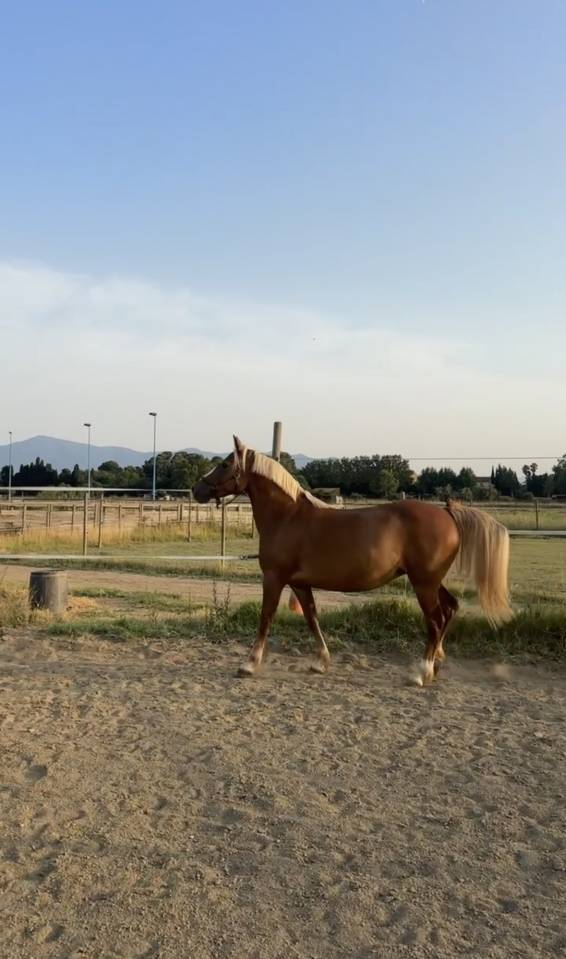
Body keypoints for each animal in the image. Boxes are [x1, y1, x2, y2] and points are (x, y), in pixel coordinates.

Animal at [193, 436, 512, 684]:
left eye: (225, 464)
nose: (197, 489)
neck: (288, 518)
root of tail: (447, 512)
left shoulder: (274, 578)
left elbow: (266, 618)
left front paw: (249, 663)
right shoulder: (299, 584)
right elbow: (311, 618)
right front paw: (321, 661)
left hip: (424, 583)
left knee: (435, 620)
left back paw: (421, 672)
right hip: (430, 581)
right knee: (450, 608)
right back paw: (437, 664)